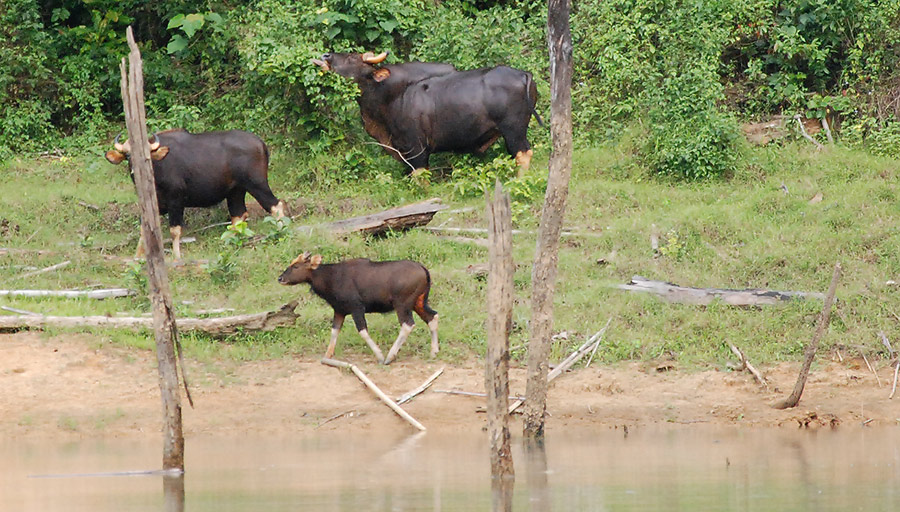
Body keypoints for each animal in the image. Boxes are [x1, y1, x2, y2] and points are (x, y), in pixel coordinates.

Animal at [278, 252, 440, 364]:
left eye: (296, 266)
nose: (280, 278)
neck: (330, 278)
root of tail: (424, 269)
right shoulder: (339, 311)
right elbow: (334, 331)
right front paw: (328, 355)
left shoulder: (356, 308)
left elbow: (362, 331)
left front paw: (379, 356)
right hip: (418, 302)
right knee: (432, 316)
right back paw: (434, 352)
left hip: (402, 304)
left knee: (408, 325)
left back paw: (389, 356)